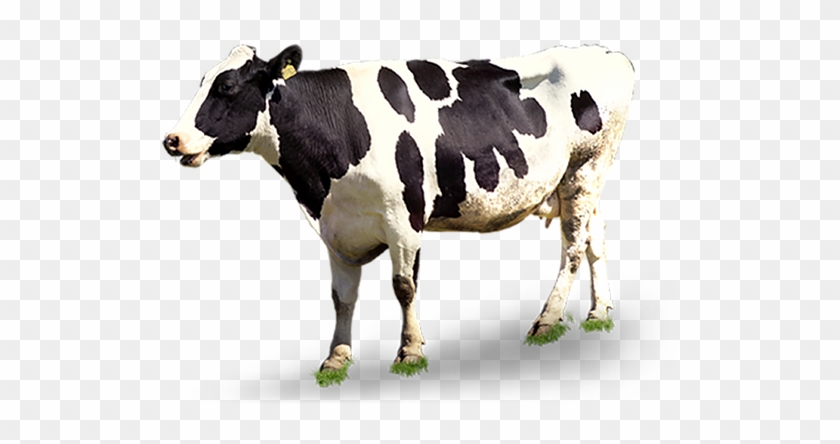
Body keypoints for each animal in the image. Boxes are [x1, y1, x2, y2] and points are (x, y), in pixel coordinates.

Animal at [163, 44, 635, 385]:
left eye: (226, 88)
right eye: (202, 81)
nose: (172, 139)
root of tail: (609, 53)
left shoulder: (403, 218)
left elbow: (404, 287)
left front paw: (410, 351)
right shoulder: (337, 227)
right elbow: (342, 298)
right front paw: (337, 357)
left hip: (585, 169)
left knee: (572, 248)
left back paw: (547, 320)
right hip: (579, 182)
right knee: (595, 238)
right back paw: (599, 311)